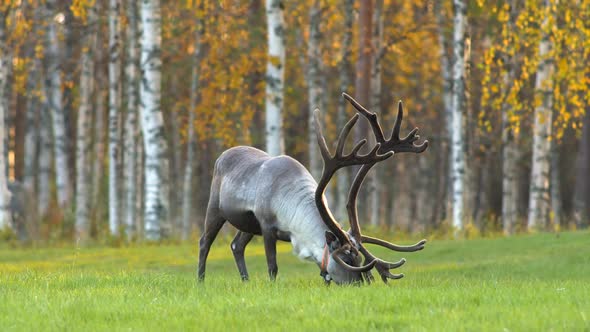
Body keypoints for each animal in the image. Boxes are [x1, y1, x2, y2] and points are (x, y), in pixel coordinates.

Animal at [199, 92, 430, 284]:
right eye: (346, 257)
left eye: (358, 256)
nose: (361, 283)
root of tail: (224, 154)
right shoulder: (266, 225)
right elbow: (272, 266)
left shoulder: (267, 227)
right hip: (215, 207)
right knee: (205, 242)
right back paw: (200, 282)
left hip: (247, 225)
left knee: (236, 246)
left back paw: (246, 282)